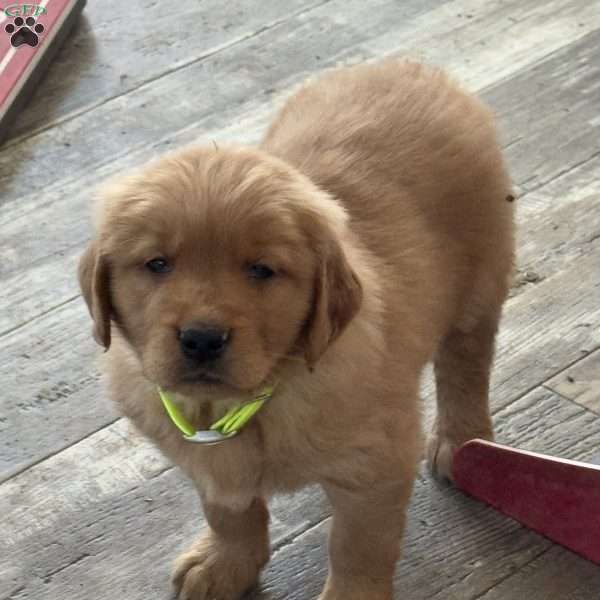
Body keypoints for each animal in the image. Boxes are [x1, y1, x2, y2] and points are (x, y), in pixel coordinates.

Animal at [77, 59, 512, 600]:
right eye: (157, 264)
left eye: (261, 270)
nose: (202, 339)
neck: (250, 400)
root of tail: (410, 65)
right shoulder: (205, 461)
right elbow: (229, 513)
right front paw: (225, 563)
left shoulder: (376, 466)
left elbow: (357, 546)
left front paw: (350, 595)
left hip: (480, 281)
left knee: (466, 365)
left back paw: (462, 439)